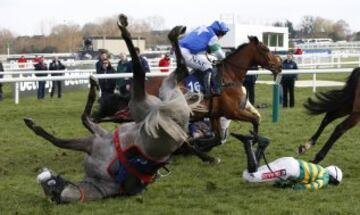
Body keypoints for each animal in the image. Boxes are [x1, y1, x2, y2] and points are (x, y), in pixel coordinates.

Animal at [23, 14, 201, 203]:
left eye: (48, 183)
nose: (42, 172)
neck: (100, 181)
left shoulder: (93, 143)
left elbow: (63, 136)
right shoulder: (97, 138)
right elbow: (84, 120)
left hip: (140, 105)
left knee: (139, 70)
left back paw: (125, 29)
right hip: (169, 97)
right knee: (179, 70)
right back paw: (173, 35)